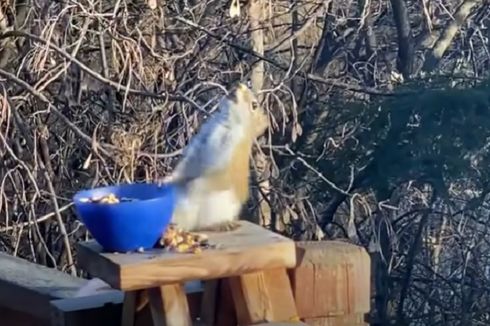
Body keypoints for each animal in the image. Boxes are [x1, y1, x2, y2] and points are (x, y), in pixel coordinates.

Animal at [161, 83, 268, 233]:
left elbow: (217, 171)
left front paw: (194, 185)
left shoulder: (231, 150)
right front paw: (168, 179)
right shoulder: (201, 142)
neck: (226, 122)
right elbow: (187, 164)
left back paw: (220, 224)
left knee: (203, 223)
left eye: (254, 105)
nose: (237, 85)